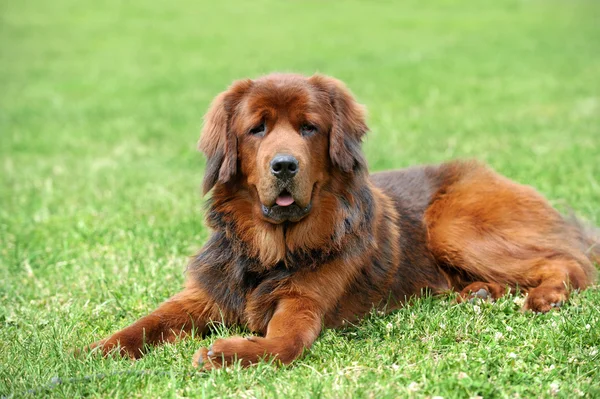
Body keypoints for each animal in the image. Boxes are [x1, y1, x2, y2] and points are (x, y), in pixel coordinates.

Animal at [90, 73, 600, 370]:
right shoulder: (203, 293)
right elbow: (142, 325)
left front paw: (228, 352)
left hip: (455, 226)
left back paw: (547, 296)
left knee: (569, 261)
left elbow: (282, 346)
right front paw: (87, 356)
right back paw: (475, 294)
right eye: (257, 129)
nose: (284, 166)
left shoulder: (303, 306)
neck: (270, 252)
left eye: (308, 127)